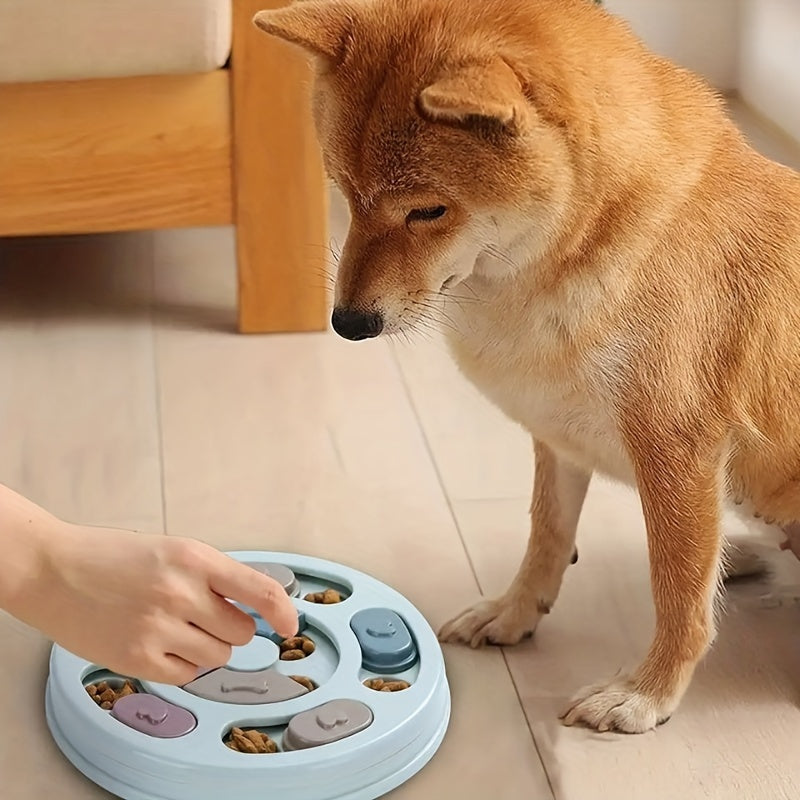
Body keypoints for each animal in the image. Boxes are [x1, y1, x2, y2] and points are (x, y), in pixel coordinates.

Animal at [253, 0, 800, 732]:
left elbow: (678, 592)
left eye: (428, 210)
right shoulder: (558, 435)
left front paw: (647, 693)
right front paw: (513, 614)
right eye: (341, 188)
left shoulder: (676, 452)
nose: (348, 323)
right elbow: (546, 534)